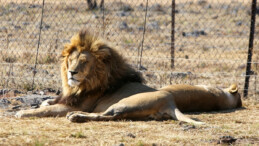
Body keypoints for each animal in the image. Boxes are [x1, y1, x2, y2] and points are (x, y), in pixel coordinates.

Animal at [15, 29, 243, 124]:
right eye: (71, 60)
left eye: (84, 62)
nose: (72, 72)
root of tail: (169, 102)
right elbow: (48, 102)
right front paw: (43, 101)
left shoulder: (75, 104)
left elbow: (47, 110)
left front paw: (23, 112)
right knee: (112, 117)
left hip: (124, 103)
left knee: (105, 115)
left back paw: (76, 117)